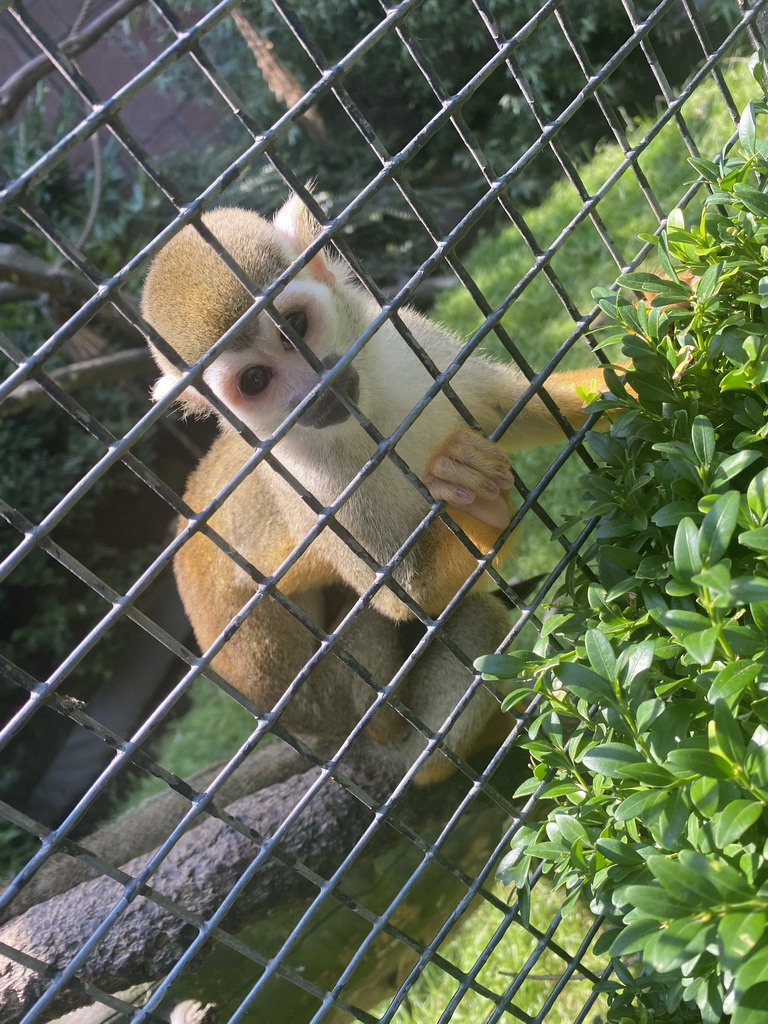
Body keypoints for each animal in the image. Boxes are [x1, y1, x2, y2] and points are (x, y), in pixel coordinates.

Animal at [141, 197, 610, 782]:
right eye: (254, 381)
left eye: (294, 325)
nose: (314, 390)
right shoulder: (315, 488)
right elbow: (404, 592)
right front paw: (481, 505)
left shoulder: (400, 337)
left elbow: (513, 402)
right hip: (352, 702)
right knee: (465, 624)